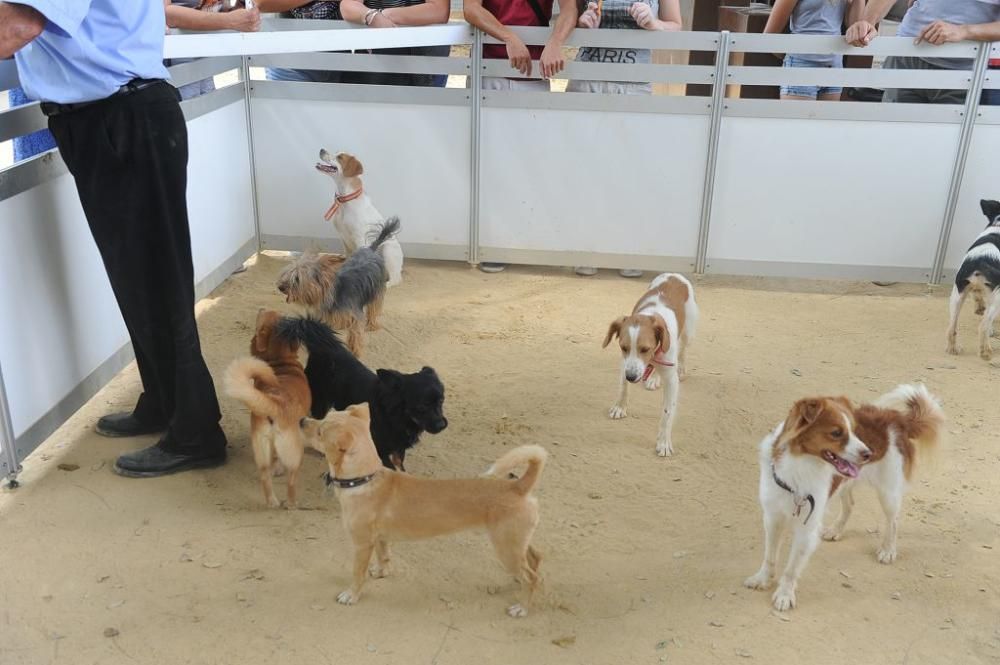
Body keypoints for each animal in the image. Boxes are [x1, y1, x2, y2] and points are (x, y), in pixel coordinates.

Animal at [284, 316, 452, 466]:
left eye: (442, 401)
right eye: (422, 406)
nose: (442, 425)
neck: (396, 416)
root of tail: (322, 348)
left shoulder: (398, 449)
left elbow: (400, 467)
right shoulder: (381, 451)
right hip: (320, 402)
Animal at [300, 404, 548, 616]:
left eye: (320, 431)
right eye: (325, 416)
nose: (302, 420)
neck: (365, 479)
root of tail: (519, 486)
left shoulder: (362, 545)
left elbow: (357, 573)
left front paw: (351, 595)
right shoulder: (380, 539)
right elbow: (384, 557)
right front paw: (381, 572)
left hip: (506, 547)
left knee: (532, 578)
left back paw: (522, 608)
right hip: (516, 543)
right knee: (535, 560)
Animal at [600, 272, 696, 454]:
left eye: (645, 349)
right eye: (623, 347)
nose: (631, 377)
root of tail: (674, 275)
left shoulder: (671, 380)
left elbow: (667, 412)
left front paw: (664, 442)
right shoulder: (625, 363)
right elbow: (623, 388)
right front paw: (620, 407)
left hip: (688, 332)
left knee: (684, 351)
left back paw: (681, 369)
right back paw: (654, 378)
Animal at [744, 384, 944, 612]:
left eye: (854, 432)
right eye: (836, 433)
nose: (868, 453)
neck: (799, 466)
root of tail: (898, 418)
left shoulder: (806, 529)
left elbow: (792, 568)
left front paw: (785, 594)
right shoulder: (772, 517)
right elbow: (769, 556)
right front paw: (762, 579)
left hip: (888, 492)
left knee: (893, 521)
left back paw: (888, 550)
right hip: (846, 483)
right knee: (850, 505)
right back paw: (836, 530)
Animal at [944, 198, 1000, 358]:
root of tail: (980, 261)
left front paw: (979, 307)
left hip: (956, 296)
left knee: (952, 328)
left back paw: (953, 349)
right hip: (997, 298)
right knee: (983, 326)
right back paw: (986, 352)